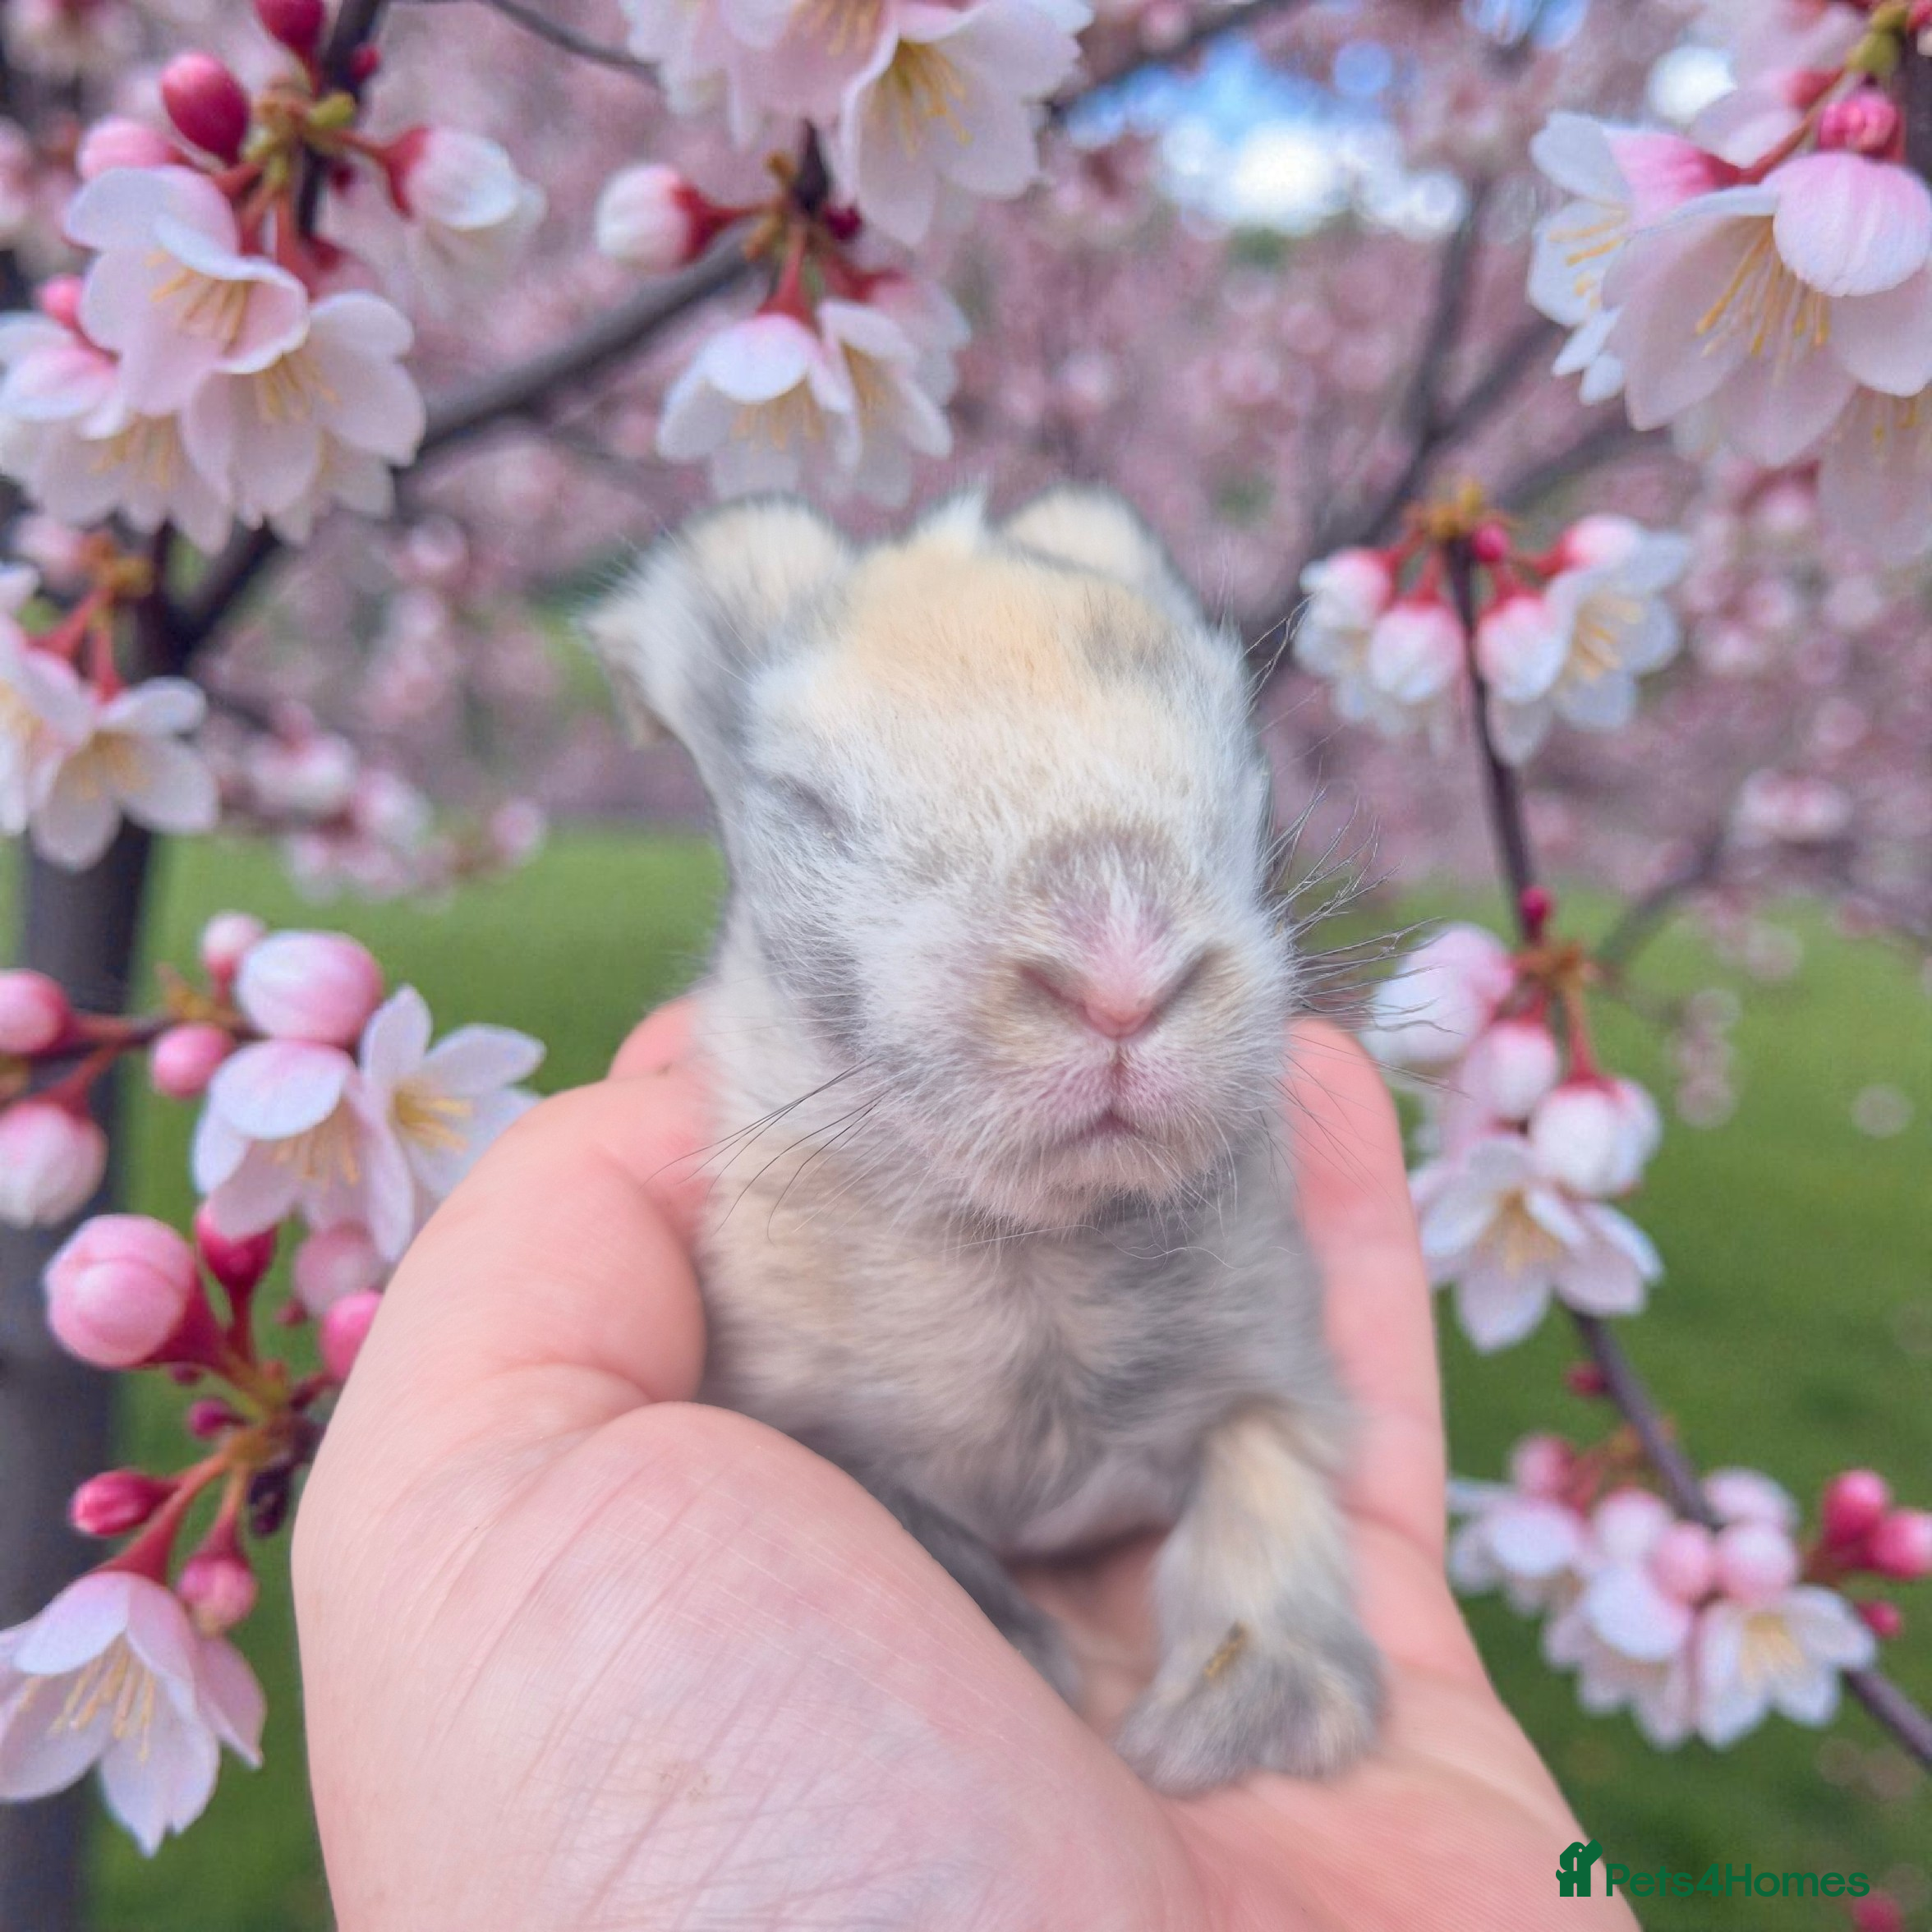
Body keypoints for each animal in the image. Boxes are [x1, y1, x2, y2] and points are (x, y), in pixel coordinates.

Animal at [585, 486, 1382, 1794]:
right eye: (810, 807)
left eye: (1245, 775)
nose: (1122, 980)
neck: (1034, 1252)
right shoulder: (799, 1421)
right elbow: (905, 1516)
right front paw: (1028, 1652)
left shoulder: (1274, 1382)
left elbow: (1260, 1495)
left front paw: (1247, 1715)